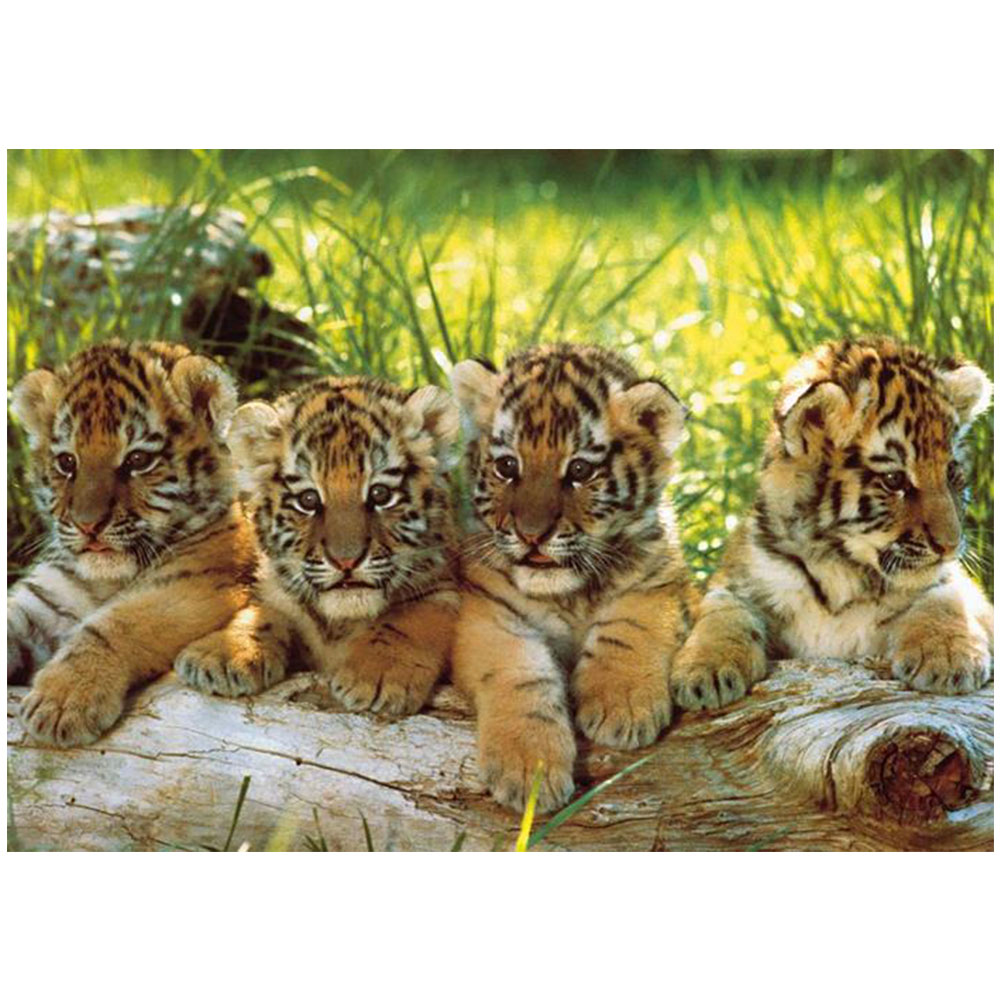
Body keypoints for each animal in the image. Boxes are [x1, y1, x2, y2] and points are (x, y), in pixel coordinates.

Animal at [8, 340, 256, 746]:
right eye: (67, 462)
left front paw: (63, 700)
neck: (105, 579)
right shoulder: (39, 605)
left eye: (137, 459)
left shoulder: (193, 586)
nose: (88, 524)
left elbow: (113, 625)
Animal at [174, 376, 460, 716]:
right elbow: (262, 613)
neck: (338, 623)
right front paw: (220, 654)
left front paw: (376, 677)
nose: (346, 561)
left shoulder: (445, 589)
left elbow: (406, 620)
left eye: (380, 494)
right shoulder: (277, 593)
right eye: (308, 500)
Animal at [450, 343, 699, 812]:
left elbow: (630, 628)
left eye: (580, 471)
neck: (568, 594)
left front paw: (622, 705)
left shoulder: (659, 583)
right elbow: (521, 671)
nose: (531, 534)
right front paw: (527, 767)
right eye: (507, 466)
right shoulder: (488, 612)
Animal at [672, 337, 994, 711]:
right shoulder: (738, 579)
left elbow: (947, 595)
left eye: (952, 473)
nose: (950, 545)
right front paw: (703, 671)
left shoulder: (954, 589)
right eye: (894, 479)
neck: (840, 570)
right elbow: (723, 611)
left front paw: (948, 658)